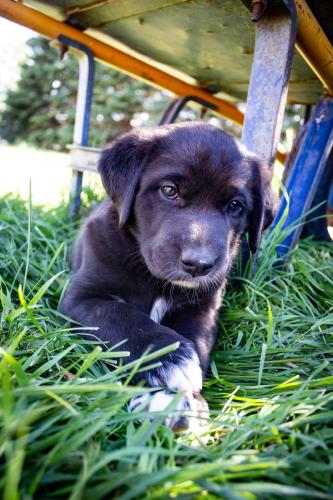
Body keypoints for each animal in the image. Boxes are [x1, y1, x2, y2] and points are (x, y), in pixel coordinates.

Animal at [61, 123, 276, 432]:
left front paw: (179, 399)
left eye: (235, 206)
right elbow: (125, 317)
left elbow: (196, 343)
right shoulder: (83, 298)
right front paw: (172, 360)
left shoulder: (201, 309)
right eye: (169, 190)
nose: (199, 265)